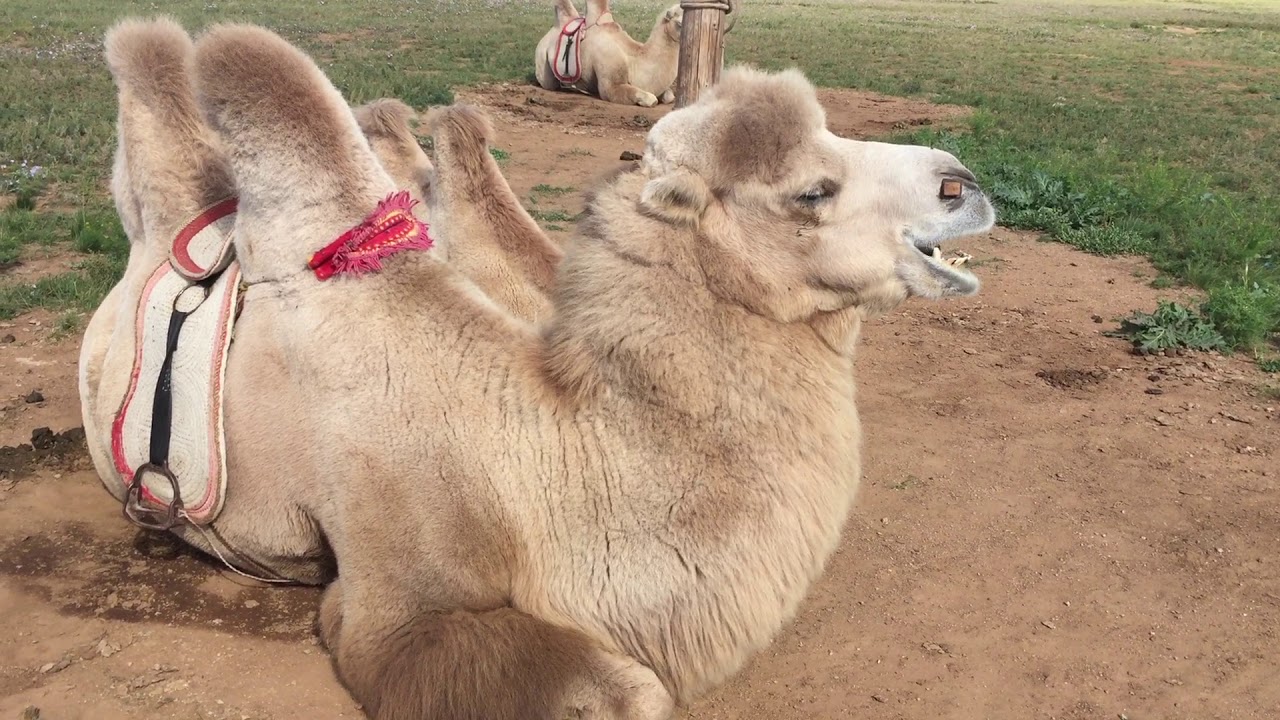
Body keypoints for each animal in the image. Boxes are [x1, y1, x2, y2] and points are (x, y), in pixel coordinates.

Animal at [534, 0, 736, 107]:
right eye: (680, 23)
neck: (636, 60)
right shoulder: (611, 83)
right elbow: (650, 98)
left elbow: (668, 96)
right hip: (544, 68)